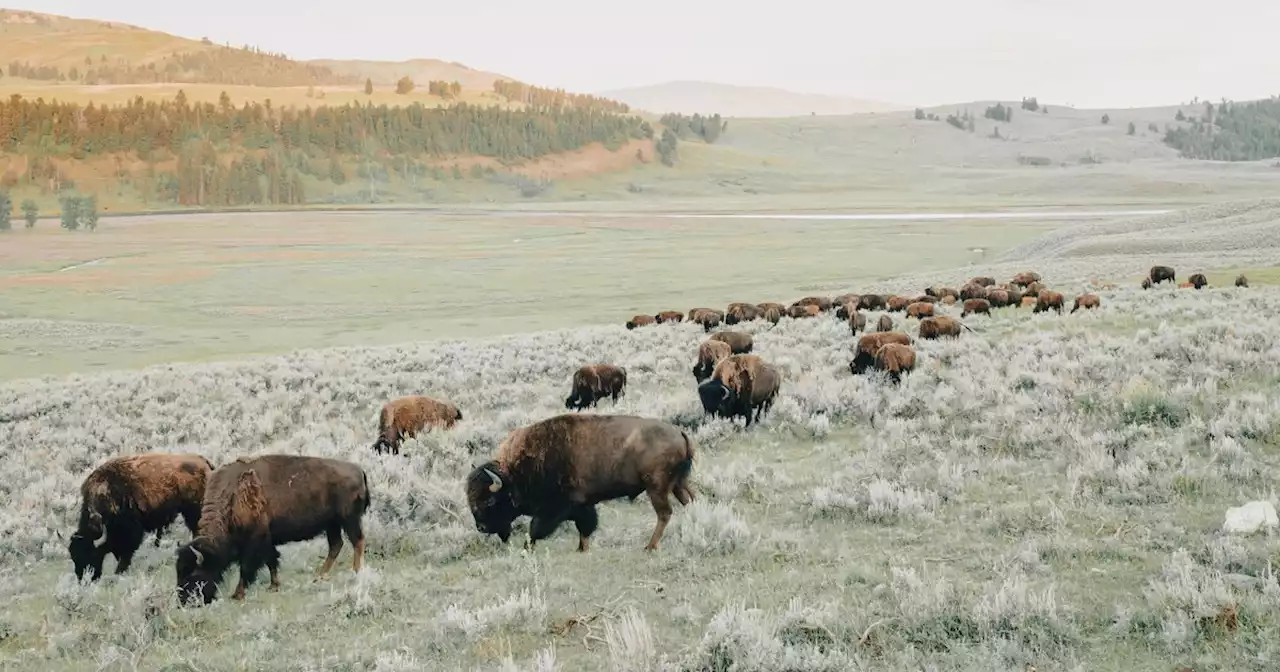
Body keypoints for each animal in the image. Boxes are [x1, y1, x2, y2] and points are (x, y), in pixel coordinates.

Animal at [67, 450, 209, 581]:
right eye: (73, 556)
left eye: (91, 553)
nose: (83, 579)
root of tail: (202, 461)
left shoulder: (131, 531)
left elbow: (126, 552)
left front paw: (119, 571)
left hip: (193, 510)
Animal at [174, 455, 371, 601]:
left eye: (193, 574)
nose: (183, 601)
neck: (232, 497)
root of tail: (359, 470)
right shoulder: (266, 542)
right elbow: (271, 561)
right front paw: (274, 585)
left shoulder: (254, 542)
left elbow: (247, 568)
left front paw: (238, 594)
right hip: (332, 524)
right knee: (336, 545)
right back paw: (319, 576)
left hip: (349, 520)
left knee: (357, 541)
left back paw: (356, 572)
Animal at [465, 412, 696, 552]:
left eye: (490, 501)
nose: (481, 527)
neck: (514, 474)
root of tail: (679, 432)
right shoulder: (583, 506)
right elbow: (585, 528)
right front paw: (581, 549)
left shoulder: (557, 508)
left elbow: (535, 529)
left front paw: (527, 548)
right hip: (678, 484)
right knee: (689, 501)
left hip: (656, 488)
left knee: (665, 513)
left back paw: (649, 547)